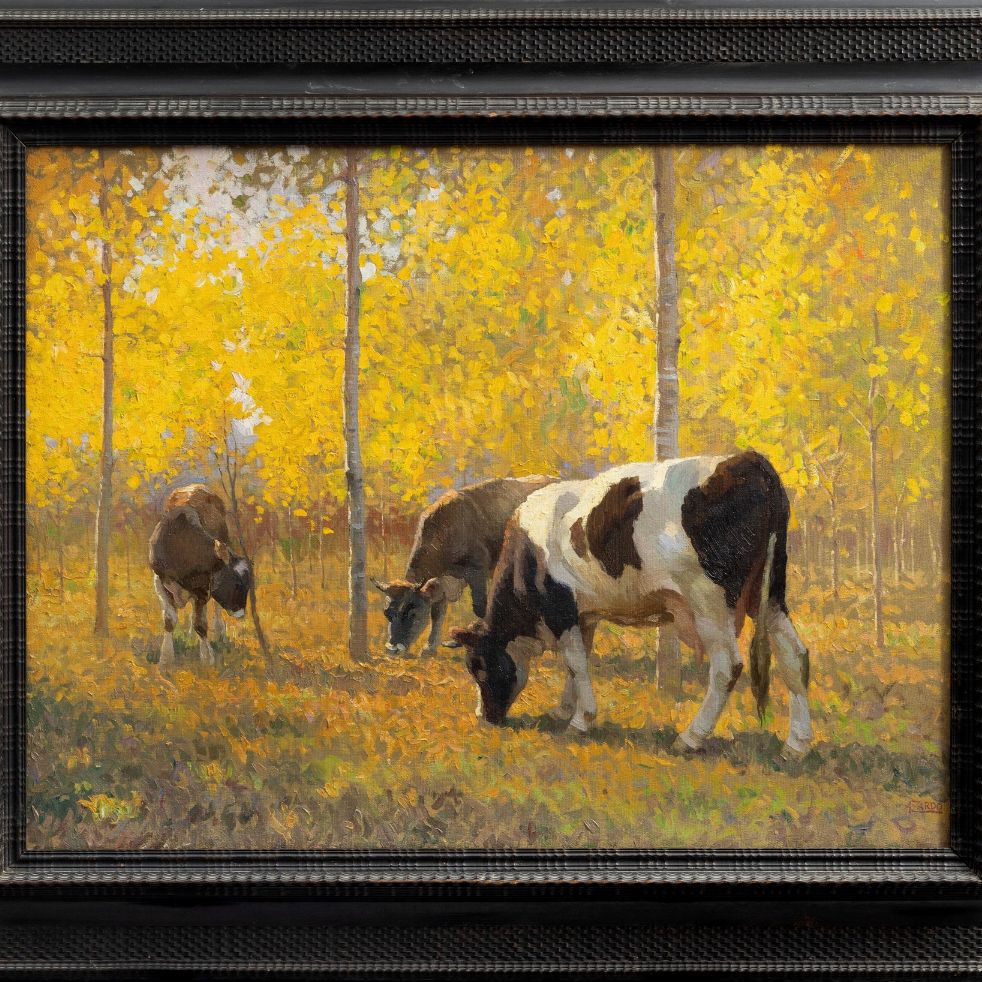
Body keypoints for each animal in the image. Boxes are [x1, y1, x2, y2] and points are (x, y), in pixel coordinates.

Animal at [149, 484, 251, 667]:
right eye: (237, 584)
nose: (241, 613)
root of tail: (196, 486)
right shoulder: (160, 582)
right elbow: (169, 620)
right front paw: (166, 658)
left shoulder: (203, 589)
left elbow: (201, 624)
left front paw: (207, 658)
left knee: (216, 608)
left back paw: (219, 632)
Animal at [371, 475, 555, 656]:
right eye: (387, 613)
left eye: (412, 613)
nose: (391, 649)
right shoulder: (442, 582)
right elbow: (437, 612)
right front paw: (429, 648)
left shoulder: (477, 572)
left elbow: (480, 607)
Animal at [451, 452, 813, 759]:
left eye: (478, 666)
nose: (485, 718)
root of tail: (747, 460)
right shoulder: (584, 614)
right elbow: (576, 662)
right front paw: (563, 709)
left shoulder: (561, 608)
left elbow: (576, 662)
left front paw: (581, 721)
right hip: (769, 595)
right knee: (794, 656)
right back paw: (796, 745)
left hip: (709, 602)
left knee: (728, 666)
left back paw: (690, 737)